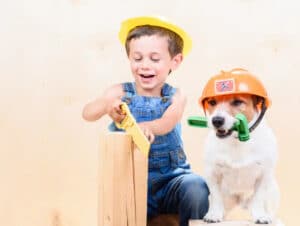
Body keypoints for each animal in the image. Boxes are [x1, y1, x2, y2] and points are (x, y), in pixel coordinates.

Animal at [199, 68, 284, 224]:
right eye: (212, 102)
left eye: (238, 102)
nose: (216, 120)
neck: (236, 141)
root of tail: (240, 201)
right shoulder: (211, 173)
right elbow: (216, 197)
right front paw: (214, 215)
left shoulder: (264, 174)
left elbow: (258, 198)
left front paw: (260, 216)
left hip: (273, 192)